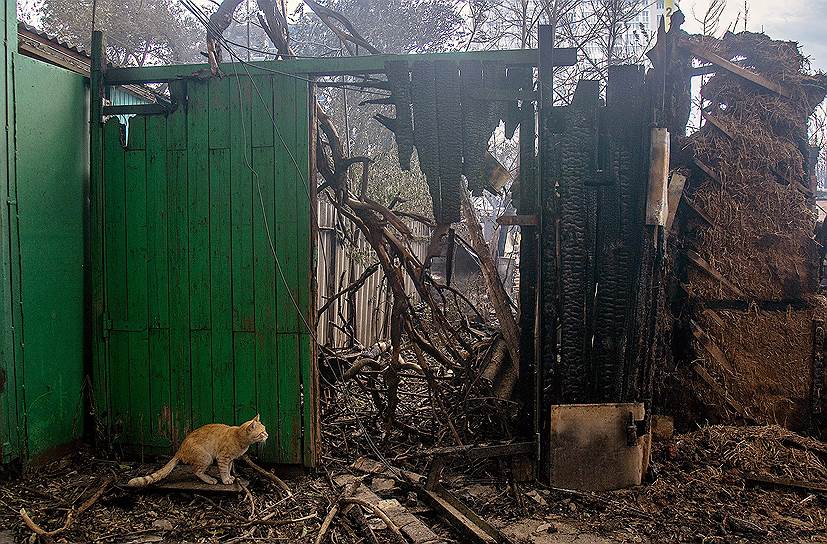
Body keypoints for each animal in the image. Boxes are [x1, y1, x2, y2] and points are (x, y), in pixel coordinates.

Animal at [126, 414, 268, 486]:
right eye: (262, 433)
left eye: (265, 429)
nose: (267, 435)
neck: (239, 437)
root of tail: (180, 449)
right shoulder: (223, 458)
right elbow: (223, 470)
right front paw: (225, 480)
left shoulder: (230, 460)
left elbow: (227, 469)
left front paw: (229, 477)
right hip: (206, 457)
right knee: (196, 471)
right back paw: (209, 479)